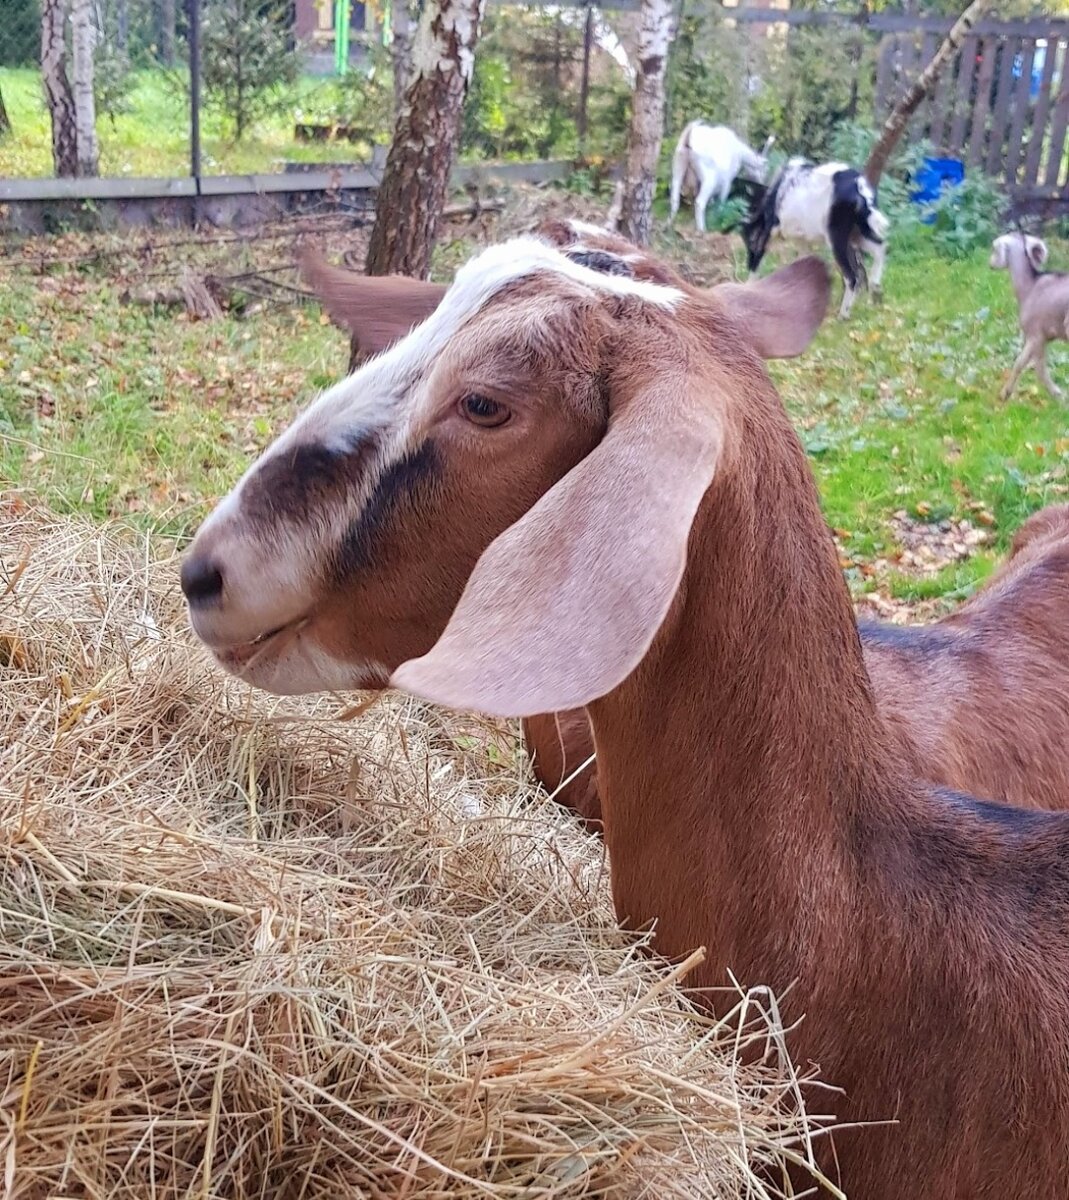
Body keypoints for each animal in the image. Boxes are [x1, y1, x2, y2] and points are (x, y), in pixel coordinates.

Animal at [739, 157, 892, 321]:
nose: (747, 263)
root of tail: (859, 186)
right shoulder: (802, 240)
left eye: (749, 242)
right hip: (858, 233)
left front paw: (748, 289)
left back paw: (843, 315)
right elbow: (802, 264)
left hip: (837, 237)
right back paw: (875, 285)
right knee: (881, 247)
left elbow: (759, 261)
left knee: (852, 277)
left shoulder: (769, 230)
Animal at [988, 229, 1065, 403]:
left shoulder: (1036, 336)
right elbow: (1023, 363)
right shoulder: (1038, 338)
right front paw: (1006, 392)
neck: (1030, 286)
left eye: (995, 249)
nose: (990, 264)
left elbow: (1035, 368)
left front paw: (1058, 394)